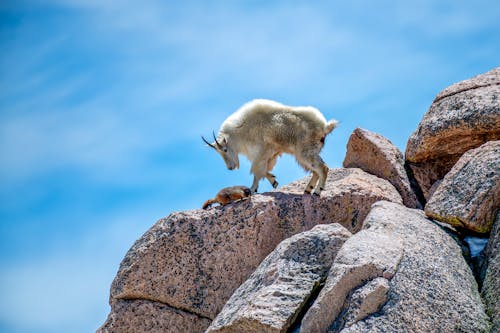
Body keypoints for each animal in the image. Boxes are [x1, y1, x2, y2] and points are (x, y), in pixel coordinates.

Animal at [203, 100, 340, 196]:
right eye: (219, 153)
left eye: (225, 150)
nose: (230, 168)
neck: (242, 130)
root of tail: (325, 127)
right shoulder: (271, 153)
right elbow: (263, 169)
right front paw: (274, 181)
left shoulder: (262, 151)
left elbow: (257, 170)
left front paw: (252, 189)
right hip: (302, 154)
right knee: (315, 171)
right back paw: (307, 190)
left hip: (305, 151)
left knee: (323, 168)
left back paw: (317, 192)